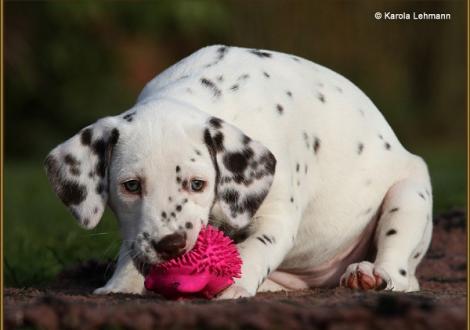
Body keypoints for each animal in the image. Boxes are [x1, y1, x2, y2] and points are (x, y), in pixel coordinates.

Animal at [45, 46, 434, 300]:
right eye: (130, 186)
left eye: (197, 184)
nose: (171, 245)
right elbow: (132, 249)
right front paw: (121, 285)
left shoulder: (277, 218)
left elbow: (253, 250)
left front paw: (234, 287)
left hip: (408, 198)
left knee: (400, 268)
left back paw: (370, 275)